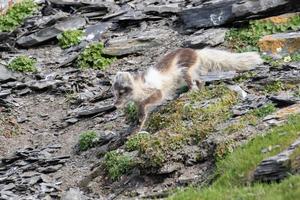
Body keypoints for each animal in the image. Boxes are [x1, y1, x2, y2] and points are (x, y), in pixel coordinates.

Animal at [112, 47, 262, 127]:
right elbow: (141, 110)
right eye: (115, 94)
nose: (115, 105)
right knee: (200, 81)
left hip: (184, 70)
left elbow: (147, 102)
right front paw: (140, 121)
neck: (139, 89)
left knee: (193, 85)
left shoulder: (157, 91)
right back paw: (200, 90)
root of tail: (197, 52)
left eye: (121, 93)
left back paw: (188, 93)